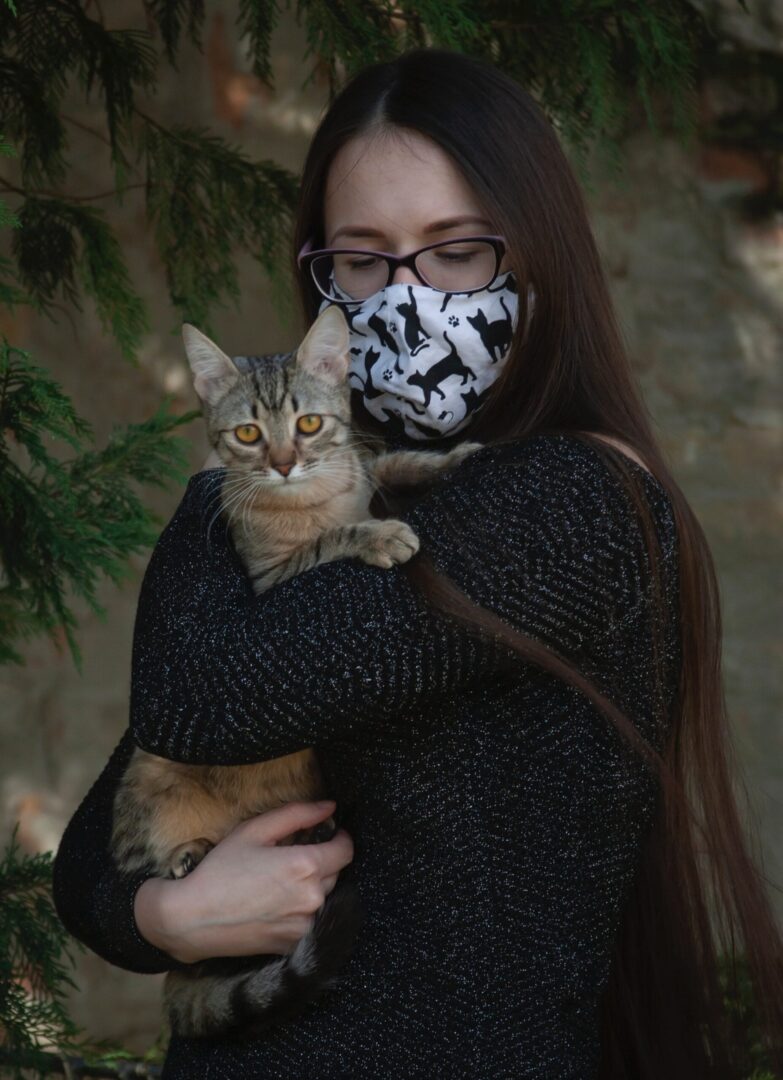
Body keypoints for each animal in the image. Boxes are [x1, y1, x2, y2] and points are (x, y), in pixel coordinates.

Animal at [110, 304, 477, 1036]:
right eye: (249, 434)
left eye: (308, 424)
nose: (283, 464)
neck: (314, 499)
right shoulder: (268, 586)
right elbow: (325, 544)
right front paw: (376, 535)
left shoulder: (355, 467)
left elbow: (381, 459)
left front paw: (444, 459)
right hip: (149, 785)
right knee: (143, 866)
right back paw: (188, 854)